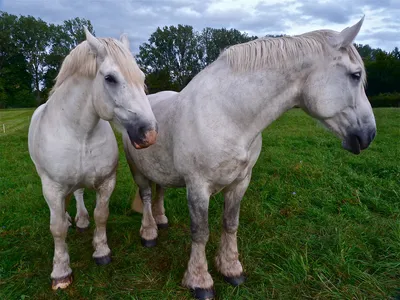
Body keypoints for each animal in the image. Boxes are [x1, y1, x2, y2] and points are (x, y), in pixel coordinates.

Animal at [27, 28, 158, 290]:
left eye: (141, 76)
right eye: (110, 78)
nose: (149, 133)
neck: (80, 134)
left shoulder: (107, 182)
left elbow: (101, 215)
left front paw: (101, 251)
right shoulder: (52, 188)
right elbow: (57, 228)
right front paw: (60, 273)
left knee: (77, 193)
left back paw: (81, 219)